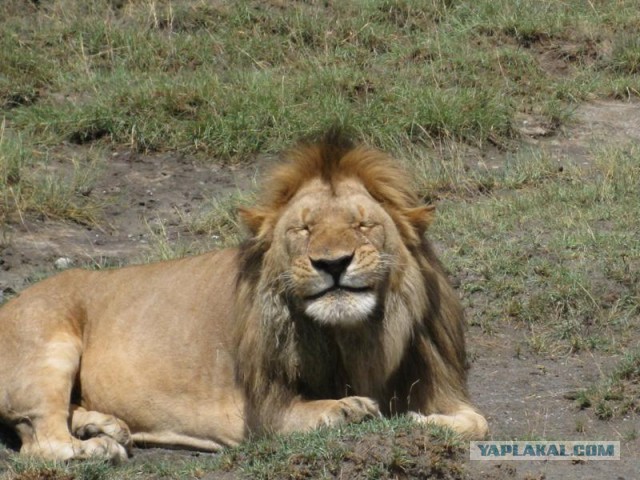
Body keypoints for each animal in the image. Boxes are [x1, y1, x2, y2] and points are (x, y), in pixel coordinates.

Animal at [0, 130, 488, 462]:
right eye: (303, 229)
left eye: (362, 224)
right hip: (48, 348)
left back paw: (106, 426)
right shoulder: (261, 414)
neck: (357, 336)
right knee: (40, 441)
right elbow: (313, 414)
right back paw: (97, 448)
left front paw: (422, 420)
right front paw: (350, 409)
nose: (332, 263)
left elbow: (478, 424)